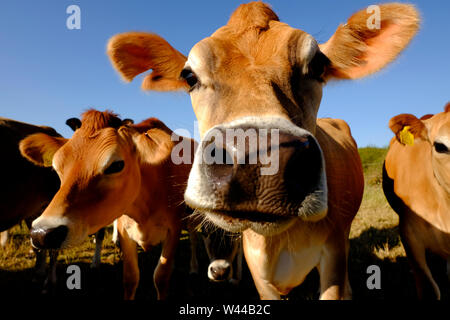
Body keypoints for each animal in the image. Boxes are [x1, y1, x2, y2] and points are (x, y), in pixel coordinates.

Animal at [19, 110, 195, 300]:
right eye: (57, 167)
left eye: (116, 165)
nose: (42, 233)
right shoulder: (125, 231)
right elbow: (130, 277)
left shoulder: (174, 228)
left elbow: (161, 277)